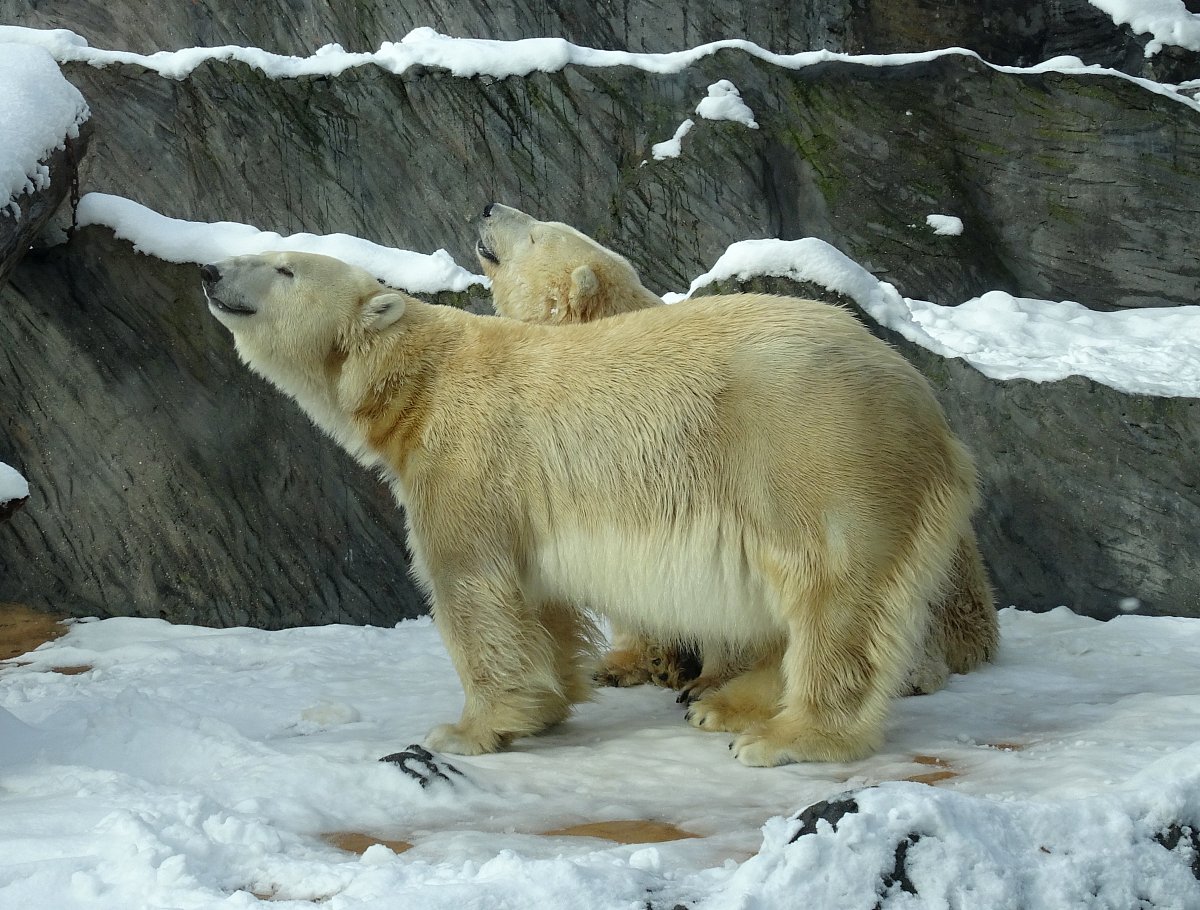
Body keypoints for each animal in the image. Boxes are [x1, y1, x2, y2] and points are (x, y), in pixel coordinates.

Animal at [201, 246, 979, 768]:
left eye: (283, 268)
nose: (209, 272)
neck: (421, 382)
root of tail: (927, 406)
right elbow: (533, 599)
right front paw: (545, 705)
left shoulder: (467, 458)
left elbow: (471, 587)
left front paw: (468, 730)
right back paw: (725, 704)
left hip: (815, 450)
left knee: (834, 592)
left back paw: (787, 736)